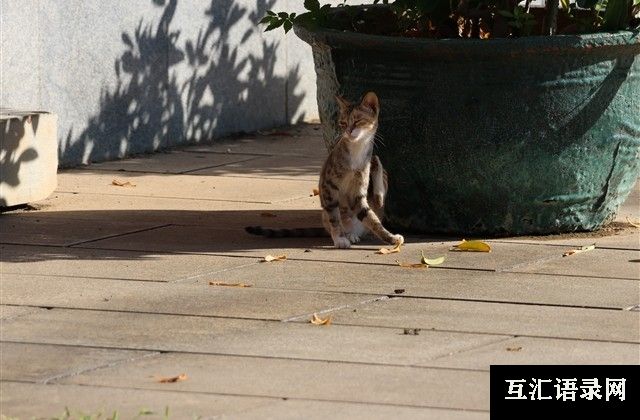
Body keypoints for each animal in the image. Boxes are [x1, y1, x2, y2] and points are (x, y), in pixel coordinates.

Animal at [242, 91, 402, 248]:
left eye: (357, 121)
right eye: (343, 123)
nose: (348, 131)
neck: (357, 150)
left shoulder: (358, 192)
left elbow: (372, 220)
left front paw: (390, 238)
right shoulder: (328, 187)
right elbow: (334, 217)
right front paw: (339, 239)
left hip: (375, 202)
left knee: (378, 196)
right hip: (328, 212)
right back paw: (349, 235)